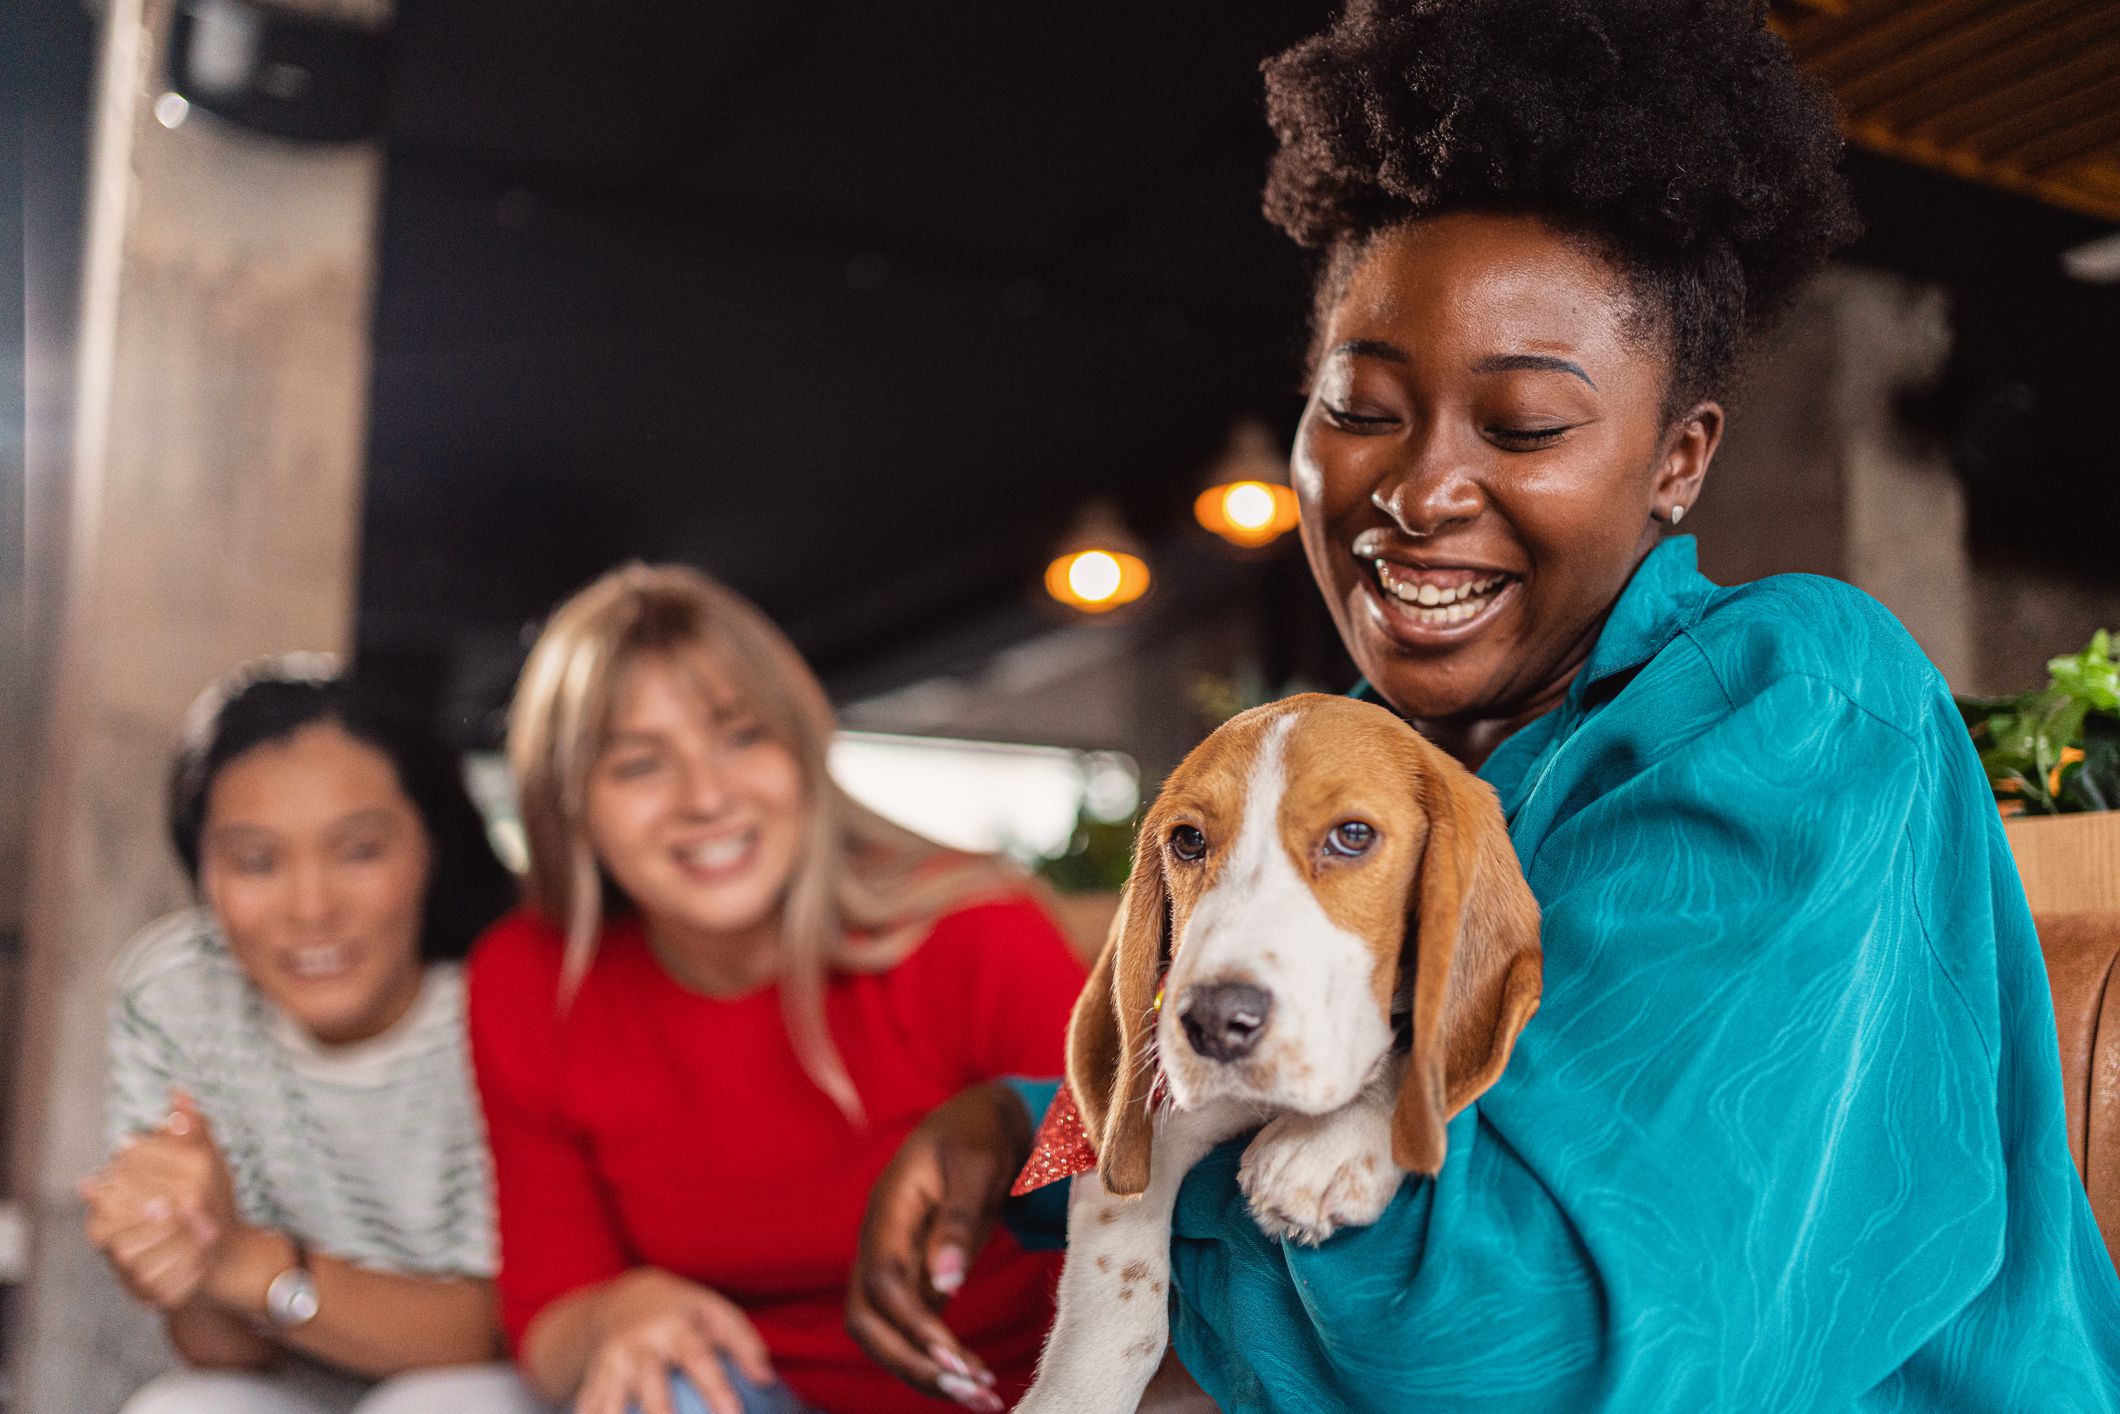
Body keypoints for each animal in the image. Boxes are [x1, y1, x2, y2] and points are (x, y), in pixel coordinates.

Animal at [1013, 695, 1543, 1414]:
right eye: (1188, 841)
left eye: (1353, 835)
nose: (1212, 1020)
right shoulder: (1143, 1131)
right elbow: (1117, 1281)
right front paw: (1075, 1394)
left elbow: (1414, 1056)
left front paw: (1328, 1148)